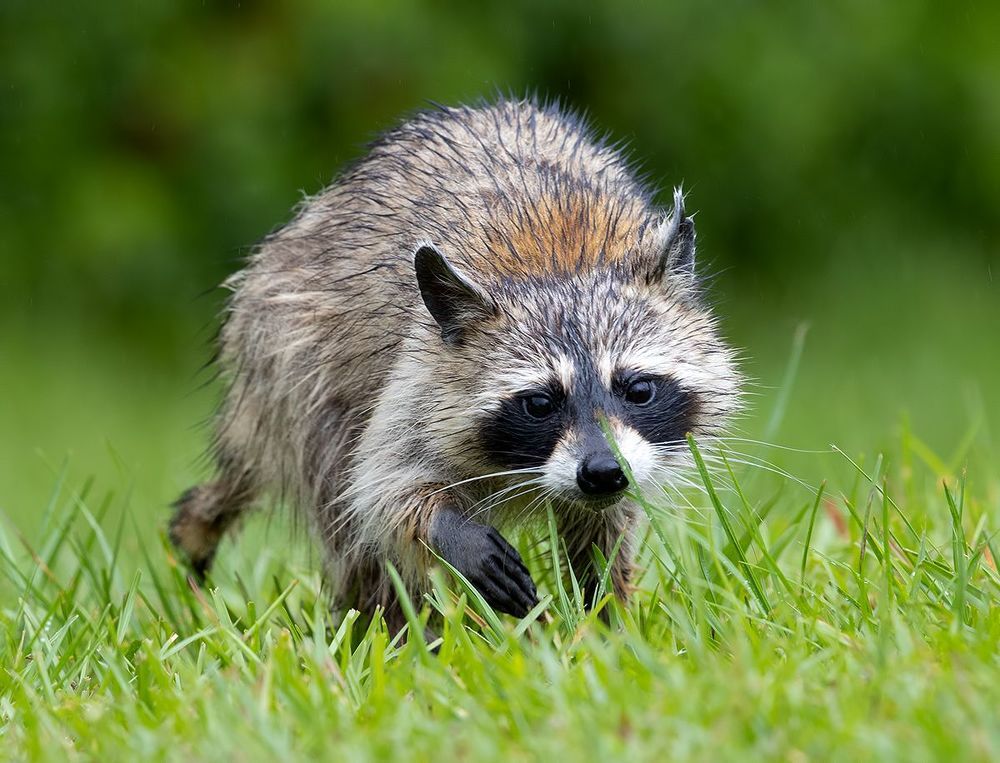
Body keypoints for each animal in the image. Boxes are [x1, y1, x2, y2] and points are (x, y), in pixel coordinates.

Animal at [169, 98, 741, 627]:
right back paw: (390, 627)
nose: (602, 472)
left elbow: (605, 533)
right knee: (347, 516)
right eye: (540, 403)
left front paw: (604, 622)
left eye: (637, 389)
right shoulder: (415, 375)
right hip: (294, 362)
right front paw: (446, 529)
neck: (560, 267)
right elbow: (376, 489)